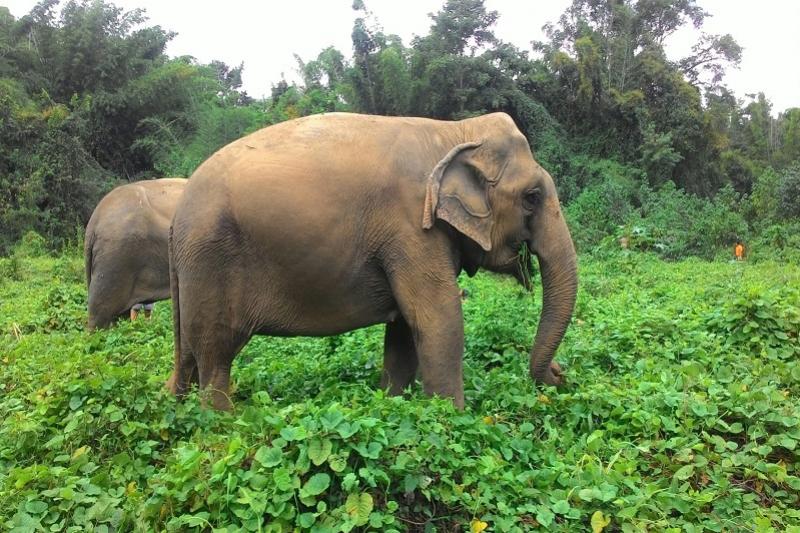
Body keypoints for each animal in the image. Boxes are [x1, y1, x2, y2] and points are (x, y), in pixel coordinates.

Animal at [167, 112, 577, 410]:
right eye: (532, 197)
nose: (560, 373)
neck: (454, 131)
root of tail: (176, 216)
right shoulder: (413, 230)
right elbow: (439, 320)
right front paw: (452, 419)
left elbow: (404, 332)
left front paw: (392, 406)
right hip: (211, 260)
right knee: (215, 353)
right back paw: (223, 423)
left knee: (190, 351)